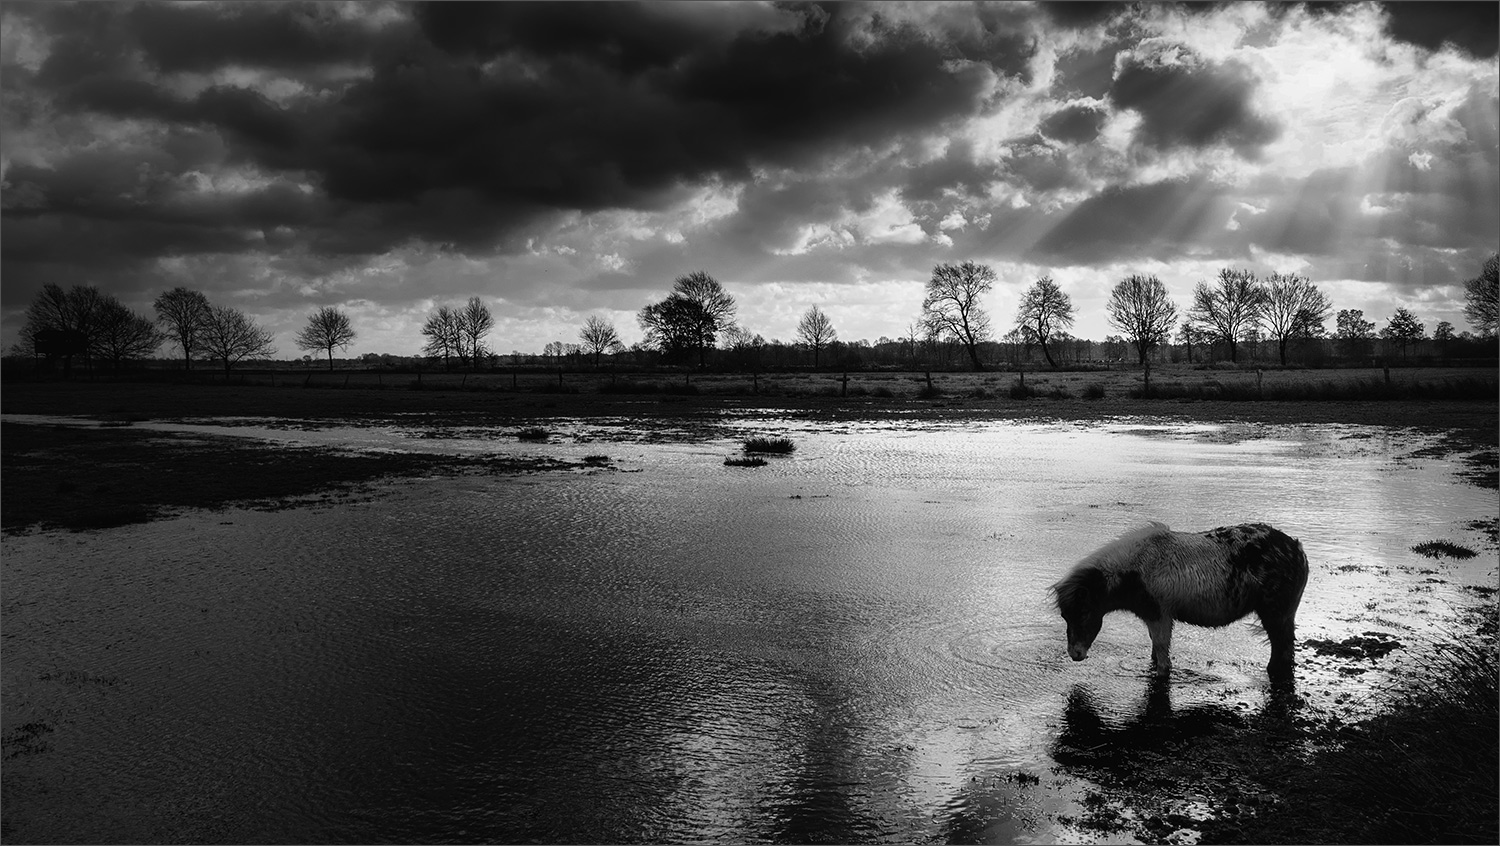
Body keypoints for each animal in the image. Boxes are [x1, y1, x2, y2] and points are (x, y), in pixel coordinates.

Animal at [1050, 522, 1308, 681]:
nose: (1075, 654)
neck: (1137, 569)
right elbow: (1155, 650)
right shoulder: (1153, 617)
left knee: (1283, 651)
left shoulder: (1160, 615)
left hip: (1276, 616)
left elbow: (1163, 656)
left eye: (1084, 612)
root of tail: (1296, 548)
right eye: (1065, 616)